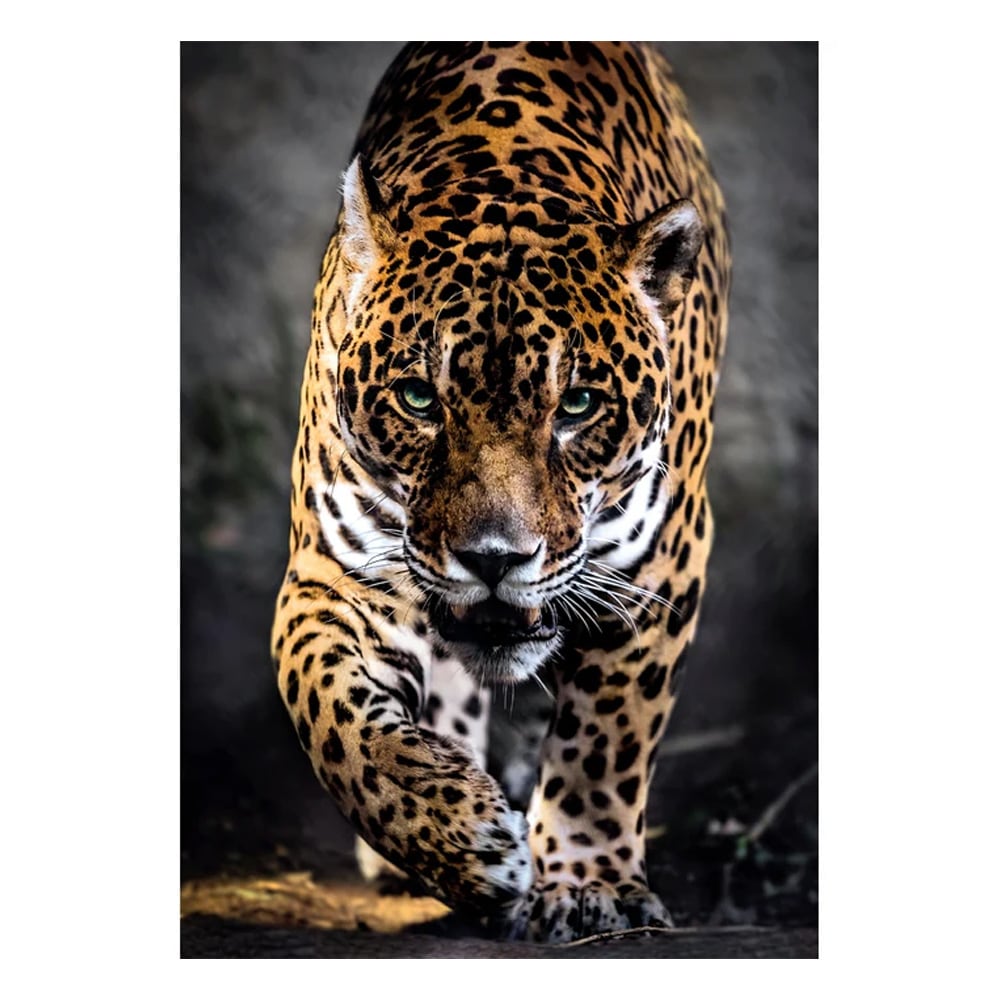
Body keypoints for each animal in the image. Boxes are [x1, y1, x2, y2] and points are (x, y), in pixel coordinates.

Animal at [271, 41, 730, 943]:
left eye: (578, 405)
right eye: (419, 398)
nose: (493, 559)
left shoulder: (660, 566)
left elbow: (606, 738)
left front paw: (588, 884)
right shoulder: (332, 572)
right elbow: (330, 712)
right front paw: (458, 837)